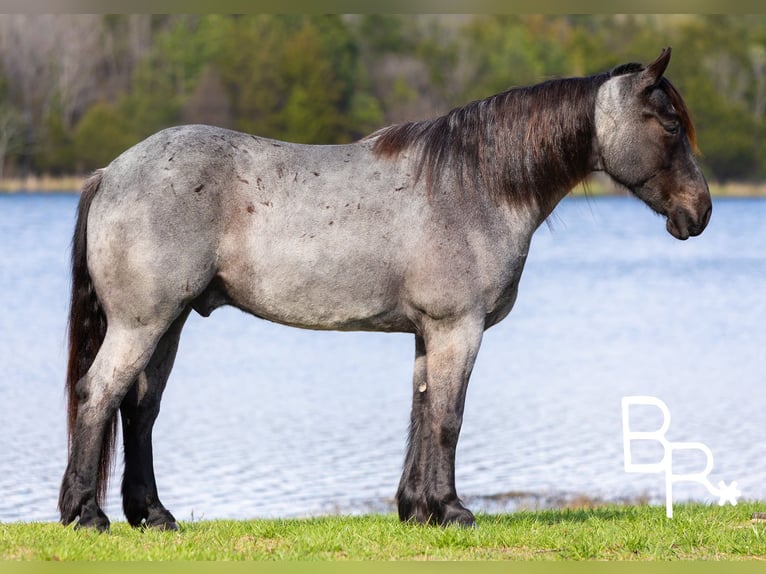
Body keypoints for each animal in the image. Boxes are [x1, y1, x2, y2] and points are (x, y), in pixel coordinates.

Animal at [59, 47, 711, 531]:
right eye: (668, 124)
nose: (699, 212)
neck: (475, 185)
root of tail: (110, 173)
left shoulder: (429, 332)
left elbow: (422, 412)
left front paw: (417, 509)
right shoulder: (457, 328)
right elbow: (449, 416)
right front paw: (452, 510)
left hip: (167, 322)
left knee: (139, 409)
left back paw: (152, 515)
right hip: (143, 323)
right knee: (99, 393)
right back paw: (86, 514)